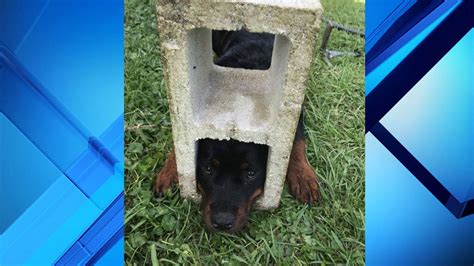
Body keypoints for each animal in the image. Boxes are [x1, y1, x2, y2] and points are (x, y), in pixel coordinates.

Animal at [154, 29, 320, 233]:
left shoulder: (294, 112)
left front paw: (304, 176)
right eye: (208, 169)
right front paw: (170, 170)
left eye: (251, 173)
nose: (222, 222)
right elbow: (179, 142)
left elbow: (297, 142)